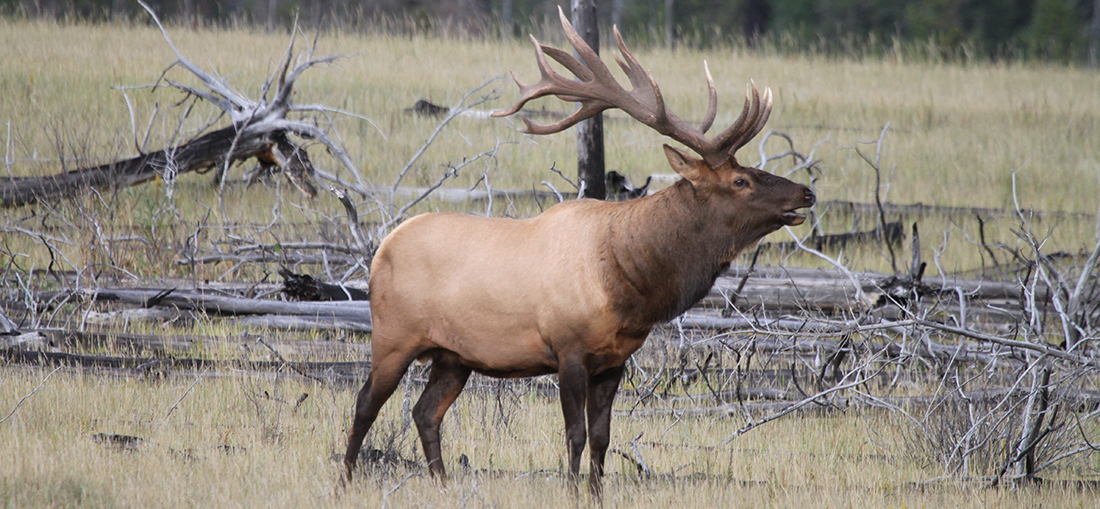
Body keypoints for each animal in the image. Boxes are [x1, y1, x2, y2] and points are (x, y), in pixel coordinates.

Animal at [343, 6, 818, 494]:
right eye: (740, 181)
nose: (806, 193)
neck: (631, 282)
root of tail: (382, 247)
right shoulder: (567, 349)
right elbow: (574, 434)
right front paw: (572, 490)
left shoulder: (614, 360)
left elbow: (602, 437)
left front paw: (595, 492)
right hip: (393, 335)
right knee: (365, 403)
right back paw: (346, 479)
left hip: (453, 356)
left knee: (426, 412)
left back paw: (442, 483)